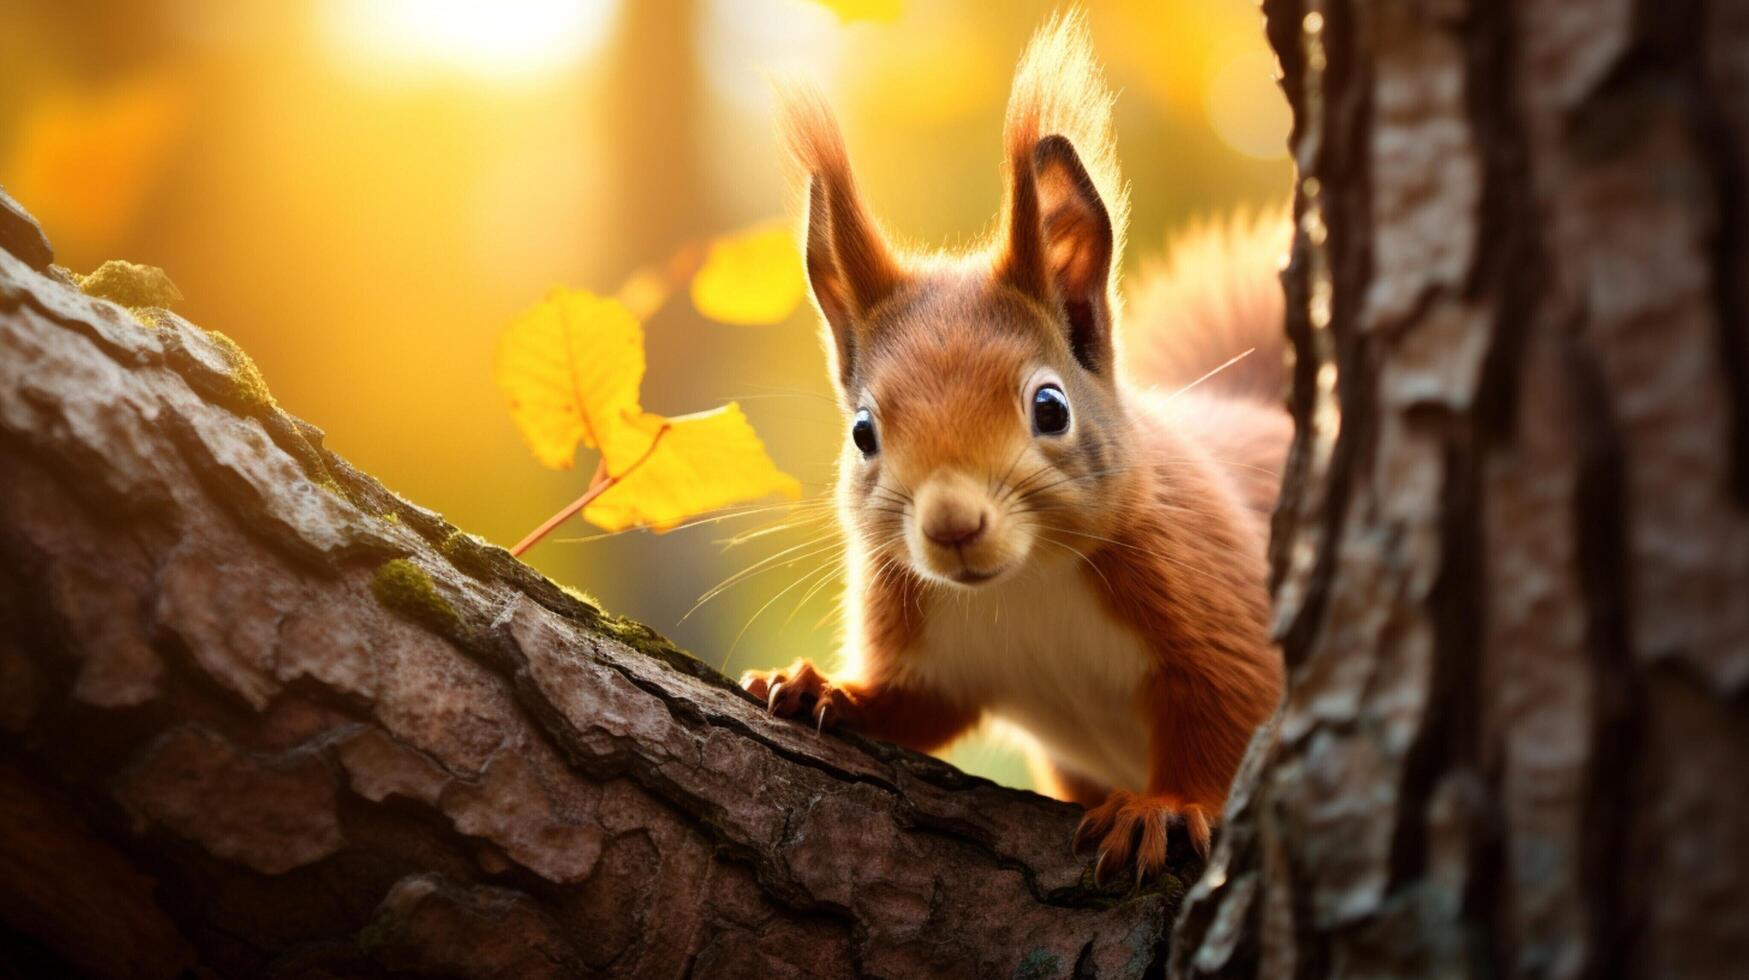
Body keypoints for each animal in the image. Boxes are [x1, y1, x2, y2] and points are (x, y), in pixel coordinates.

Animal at [738, 9, 1287, 882]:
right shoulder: (927, 640)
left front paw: (1165, 809)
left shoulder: (1212, 592)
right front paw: (819, 689)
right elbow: (915, 705)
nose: (952, 526)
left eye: (1050, 407)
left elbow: (1231, 714)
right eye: (862, 432)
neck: (1024, 583)